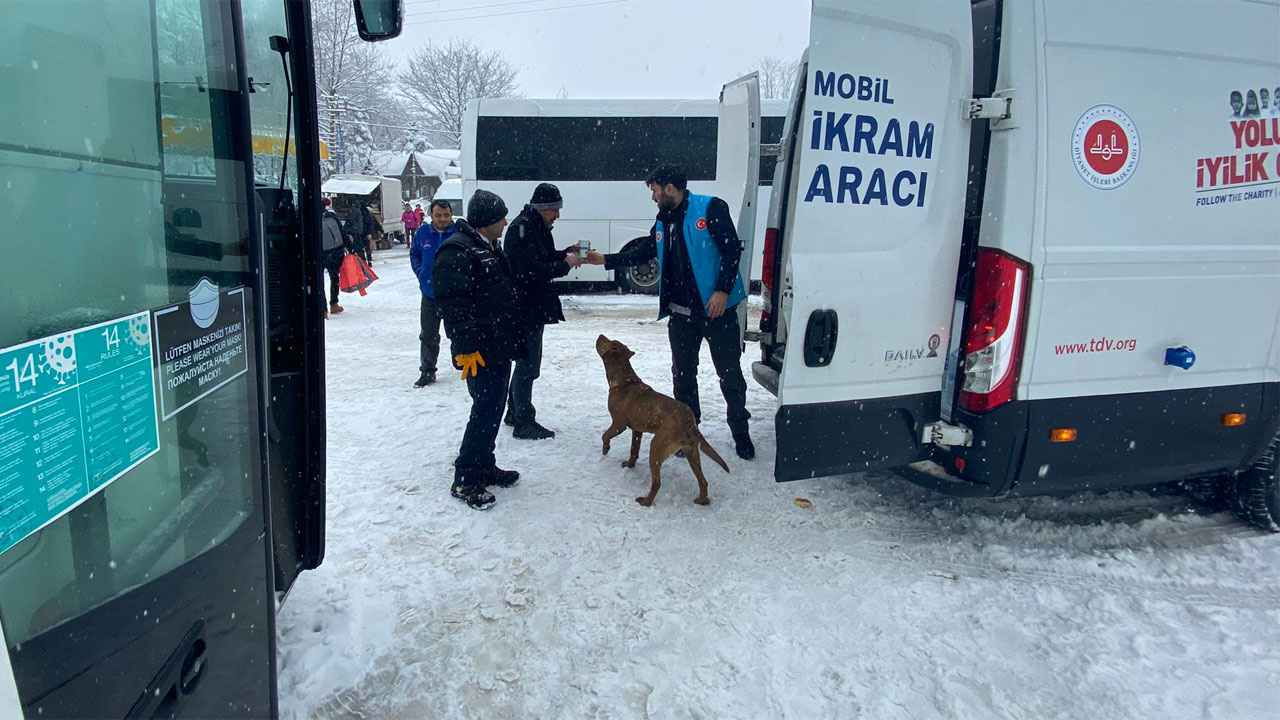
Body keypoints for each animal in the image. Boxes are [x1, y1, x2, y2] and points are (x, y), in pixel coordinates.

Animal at [591, 333, 727, 504]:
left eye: (609, 341)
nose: (600, 334)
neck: (625, 379)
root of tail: (689, 422)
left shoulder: (618, 424)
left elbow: (605, 435)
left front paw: (606, 449)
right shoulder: (637, 430)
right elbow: (633, 450)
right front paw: (630, 464)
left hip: (656, 446)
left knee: (657, 482)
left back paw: (645, 501)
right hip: (691, 452)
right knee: (702, 480)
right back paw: (702, 500)